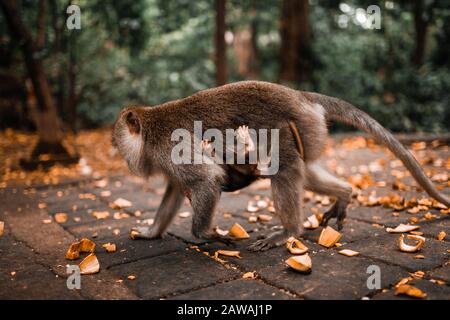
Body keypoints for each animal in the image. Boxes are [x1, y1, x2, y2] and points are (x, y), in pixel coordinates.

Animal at [110, 80, 448, 250]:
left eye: (116, 143)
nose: (120, 158)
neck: (150, 129)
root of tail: (301, 96)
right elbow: (175, 191)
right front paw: (152, 233)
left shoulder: (168, 147)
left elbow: (207, 178)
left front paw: (204, 234)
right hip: (311, 130)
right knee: (304, 170)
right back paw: (344, 193)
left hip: (294, 124)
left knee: (283, 168)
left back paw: (289, 231)